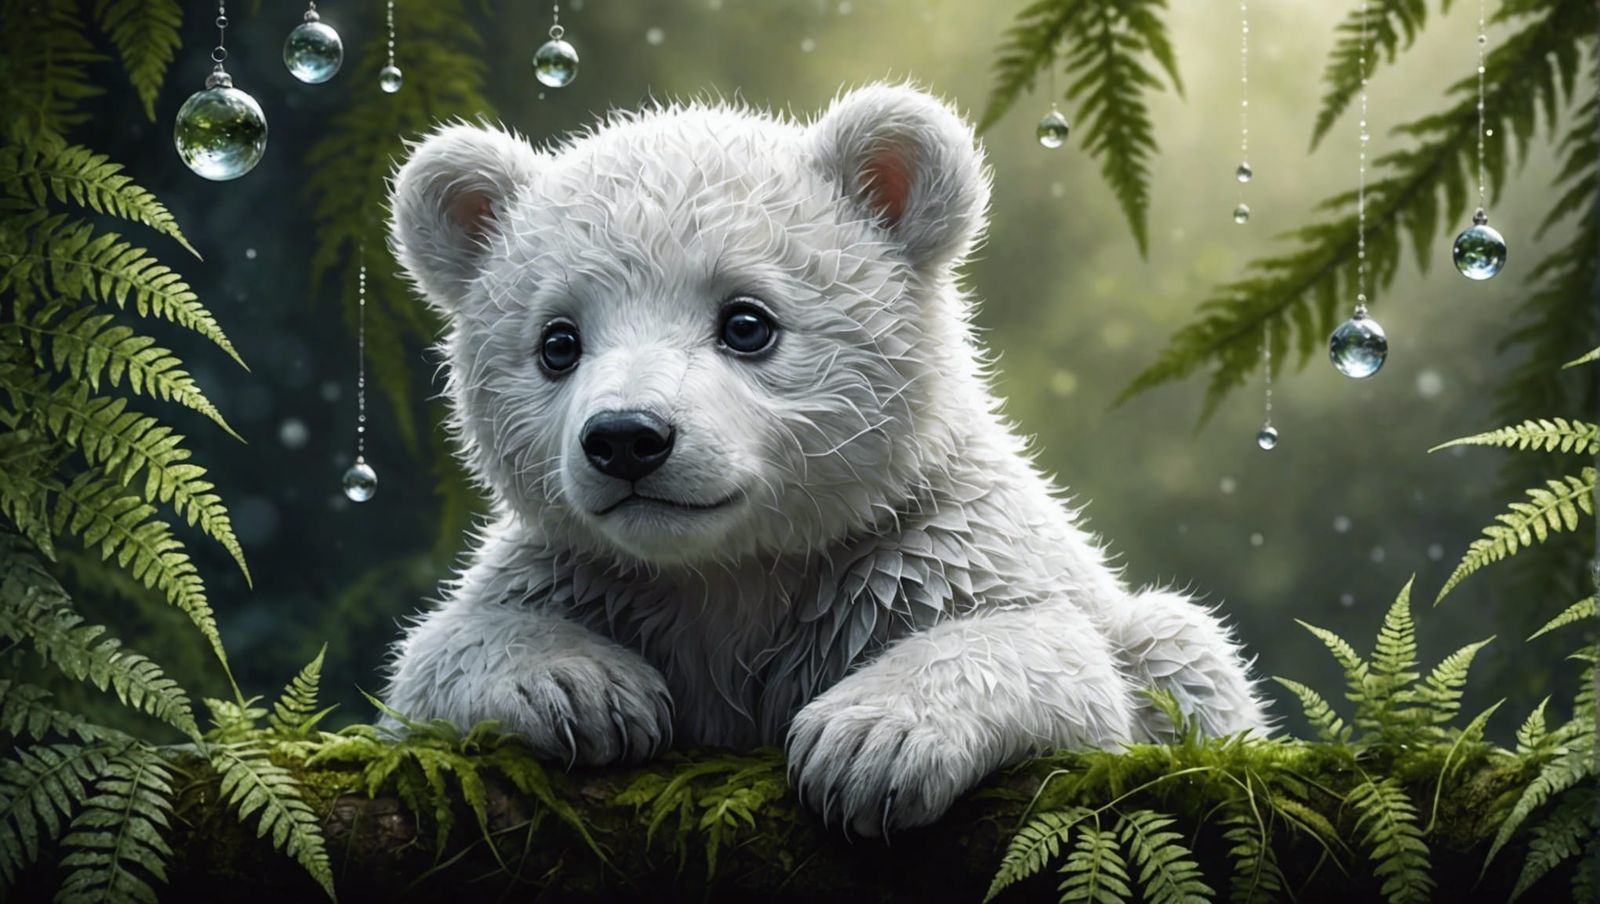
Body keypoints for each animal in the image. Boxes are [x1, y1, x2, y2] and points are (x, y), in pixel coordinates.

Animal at [381, 83, 1267, 839]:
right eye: (557, 342)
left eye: (747, 322)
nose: (628, 438)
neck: (734, 571)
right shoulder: (584, 574)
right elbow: (429, 661)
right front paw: (580, 688)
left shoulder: (921, 545)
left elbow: (1053, 654)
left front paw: (870, 743)